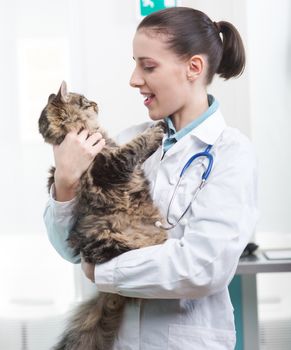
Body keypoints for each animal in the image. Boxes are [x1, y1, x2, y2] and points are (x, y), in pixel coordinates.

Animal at [38, 81, 169, 350]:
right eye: (85, 101)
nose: (96, 103)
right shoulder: (110, 164)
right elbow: (135, 145)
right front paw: (155, 131)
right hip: (109, 238)